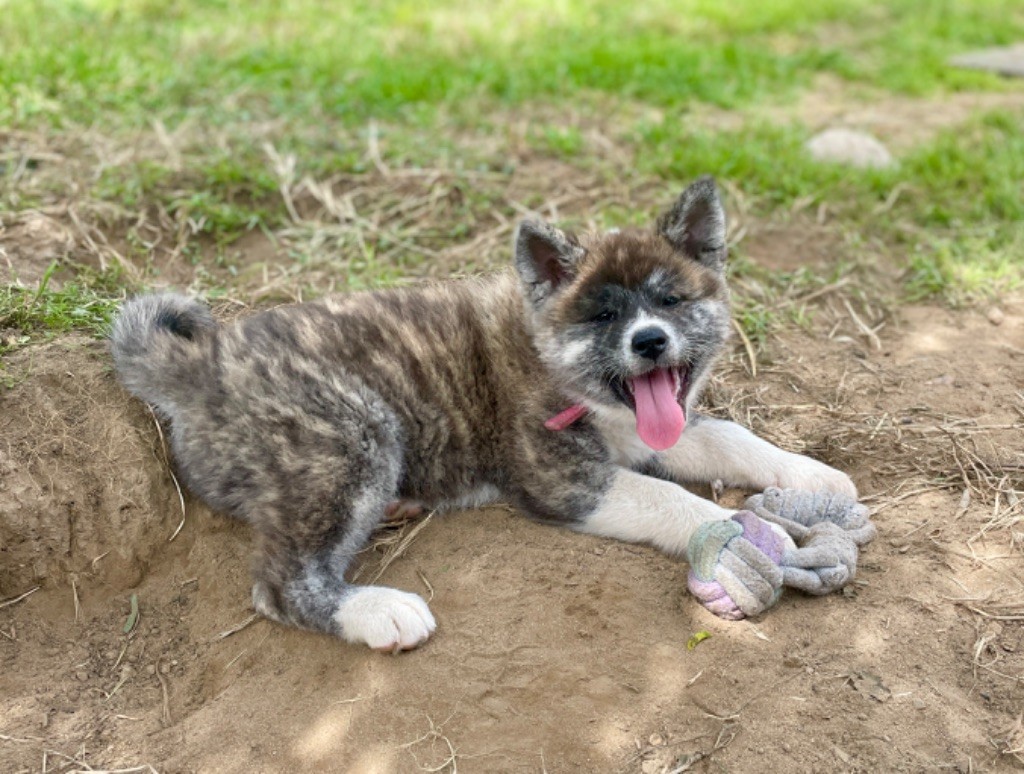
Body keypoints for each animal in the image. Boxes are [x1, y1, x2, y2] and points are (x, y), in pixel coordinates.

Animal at [110, 177, 855, 652]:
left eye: (671, 301)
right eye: (603, 316)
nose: (649, 342)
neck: (561, 367)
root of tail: (201, 362)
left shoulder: (646, 432)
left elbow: (728, 435)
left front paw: (812, 475)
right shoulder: (567, 481)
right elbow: (676, 501)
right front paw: (763, 536)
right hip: (349, 436)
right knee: (280, 585)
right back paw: (376, 611)